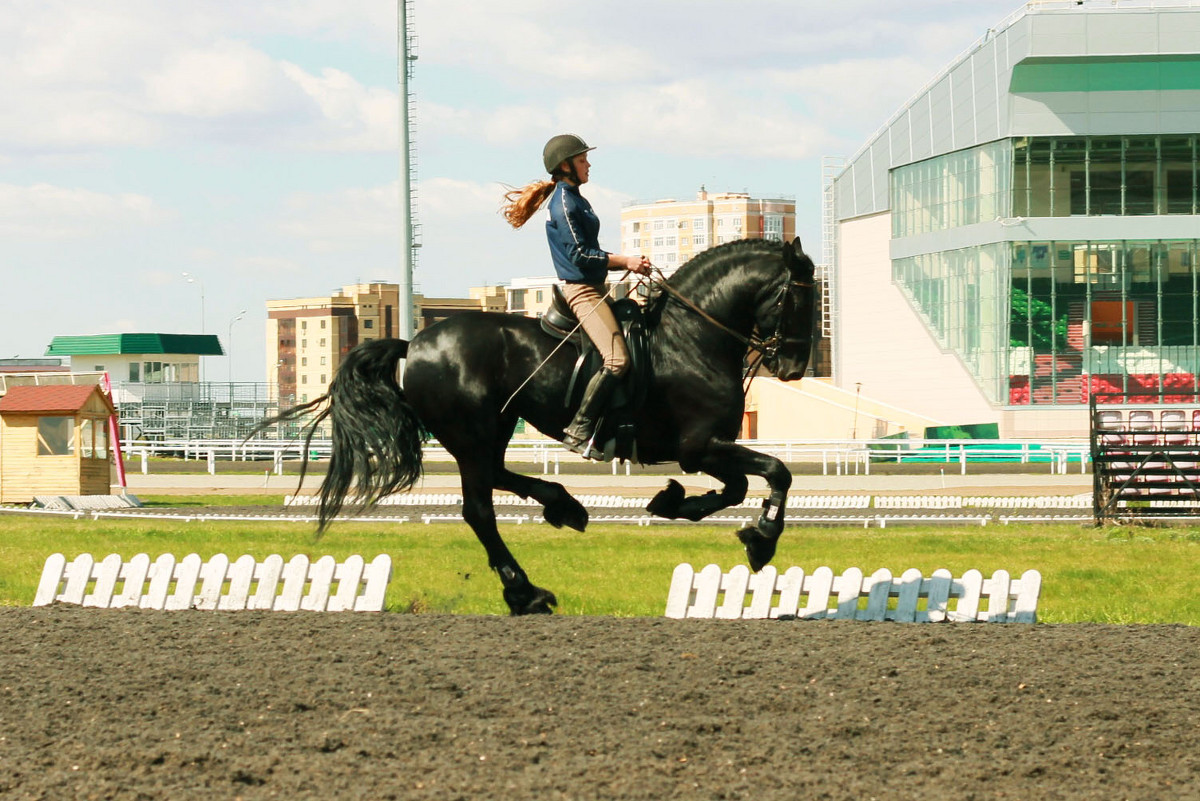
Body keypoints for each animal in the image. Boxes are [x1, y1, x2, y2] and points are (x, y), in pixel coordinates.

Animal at [273, 236, 816, 613]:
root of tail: (416, 343)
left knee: (498, 477)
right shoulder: (698, 446)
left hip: (496, 426)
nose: (792, 368)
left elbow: (741, 484)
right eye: (798, 300)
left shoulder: (703, 449)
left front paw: (675, 503)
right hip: (471, 435)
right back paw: (525, 591)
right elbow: (775, 472)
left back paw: (564, 506)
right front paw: (762, 540)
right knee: (479, 510)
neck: (692, 337)